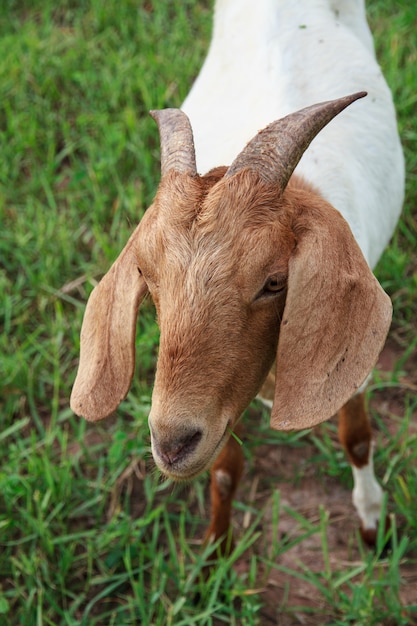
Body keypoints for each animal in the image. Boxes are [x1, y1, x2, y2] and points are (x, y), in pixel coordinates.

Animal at [70, 1, 402, 556]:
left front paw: (373, 525)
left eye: (274, 281)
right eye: (149, 278)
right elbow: (225, 469)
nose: (172, 443)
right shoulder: (224, 404)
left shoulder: (352, 363)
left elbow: (356, 437)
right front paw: (215, 551)